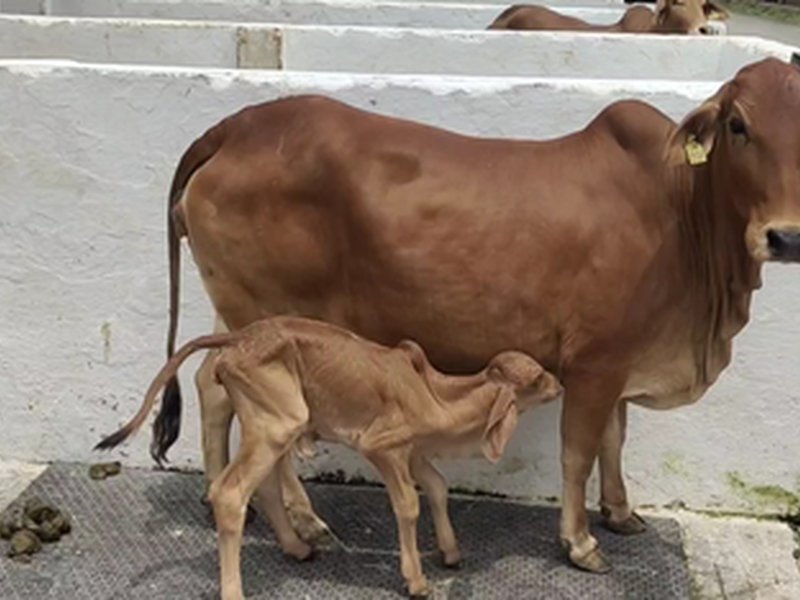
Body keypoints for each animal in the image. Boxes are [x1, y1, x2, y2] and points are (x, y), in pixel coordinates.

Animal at [100, 316, 563, 598]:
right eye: (538, 378)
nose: (559, 384)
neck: (432, 393)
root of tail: (240, 338)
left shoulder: (411, 451)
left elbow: (437, 486)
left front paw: (450, 553)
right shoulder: (382, 447)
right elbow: (408, 505)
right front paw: (416, 580)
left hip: (273, 426)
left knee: (266, 486)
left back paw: (297, 547)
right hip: (278, 423)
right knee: (230, 492)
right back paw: (236, 589)